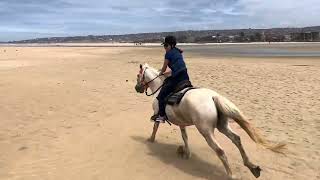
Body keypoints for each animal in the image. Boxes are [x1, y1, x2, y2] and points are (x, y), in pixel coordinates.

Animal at [135, 63, 284, 179]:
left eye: (138, 75)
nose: (137, 88)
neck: (159, 87)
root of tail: (213, 97)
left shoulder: (157, 114)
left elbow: (155, 127)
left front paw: (151, 139)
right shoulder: (182, 123)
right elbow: (185, 137)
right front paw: (187, 153)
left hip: (206, 131)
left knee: (220, 150)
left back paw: (231, 175)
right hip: (222, 126)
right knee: (237, 139)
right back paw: (252, 166)